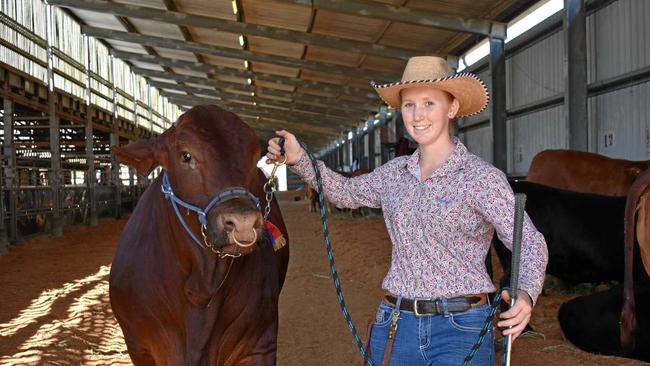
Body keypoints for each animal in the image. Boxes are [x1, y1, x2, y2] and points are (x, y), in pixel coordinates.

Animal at [110, 104, 288, 364]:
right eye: (186, 156)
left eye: (255, 155)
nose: (244, 222)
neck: (202, 285)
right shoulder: (139, 347)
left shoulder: (260, 344)